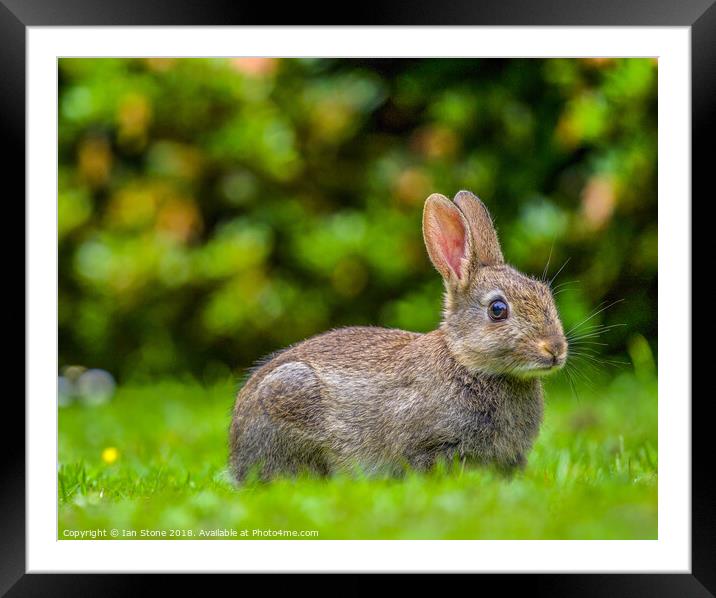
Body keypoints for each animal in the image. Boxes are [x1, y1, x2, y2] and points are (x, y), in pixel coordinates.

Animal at [228, 192, 564, 482]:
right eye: (497, 310)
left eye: (544, 294)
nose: (555, 350)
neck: (466, 362)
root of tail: (236, 454)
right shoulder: (427, 443)